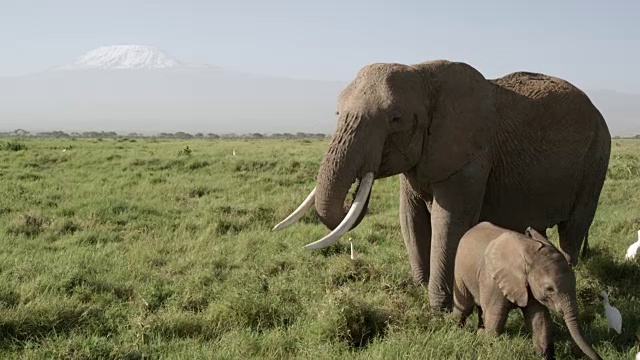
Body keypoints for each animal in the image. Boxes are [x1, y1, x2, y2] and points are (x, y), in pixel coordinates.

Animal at [272, 60, 608, 310]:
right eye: (338, 112)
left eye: (395, 119)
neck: (422, 74)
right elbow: (410, 219)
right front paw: (418, 287)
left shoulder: (469, 158)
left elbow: (449, 224)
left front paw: (438, 310)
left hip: (596, 159)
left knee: (574, 227)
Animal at [452, 221, 596, 358]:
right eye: (549, 289)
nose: (598, 356)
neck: (531, 255)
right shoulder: (493, 281)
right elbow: (495, 318)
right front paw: (486, 343)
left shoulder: (531, 287)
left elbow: (539, 319)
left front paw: (544, 356)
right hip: (460, 268)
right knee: (465, 306)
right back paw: (457, 329)